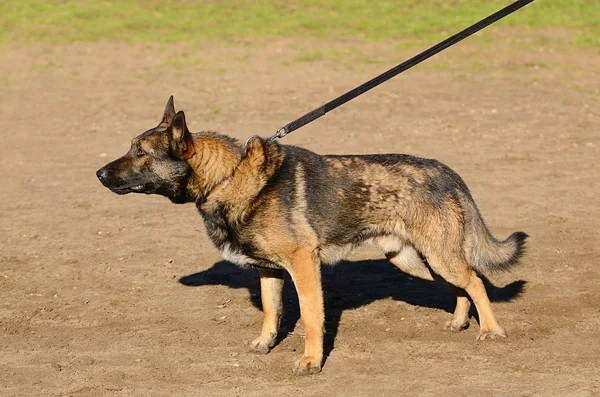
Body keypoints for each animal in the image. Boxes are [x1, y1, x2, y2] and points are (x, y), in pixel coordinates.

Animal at [96, 96, 528, 374]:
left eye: (140, 152)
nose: (98, 173)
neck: (230, 176)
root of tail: (445, 170)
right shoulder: (269, 271)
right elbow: (272, 311)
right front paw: (265, 344)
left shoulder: (303, 265)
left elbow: (309, 316)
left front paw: (310, 361)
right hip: (414, 260)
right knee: (465, 284)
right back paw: (459, 323)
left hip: (437, 256)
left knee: (476, 281)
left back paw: (491, 331)